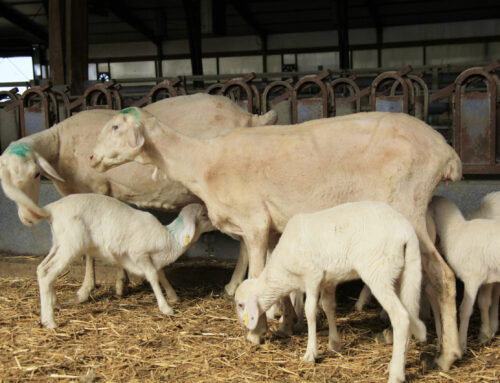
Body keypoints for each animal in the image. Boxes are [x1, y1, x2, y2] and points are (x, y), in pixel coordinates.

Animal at [7, 194, 214, 328]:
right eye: (204, 215)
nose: (217, 222)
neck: (169, 239)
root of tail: (51, 209)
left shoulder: (152, 259)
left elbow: (161, 275)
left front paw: (173, 296)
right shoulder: (139, 254)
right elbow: (154, 277)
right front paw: (166, 308)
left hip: (58, 243)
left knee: (42, 269)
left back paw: (53, 303)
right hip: (72, 244)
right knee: (48, 273)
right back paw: (49, 321)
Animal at [234, 201, 426, 383]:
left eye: (240, 304)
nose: (243, 325)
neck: (283, 273)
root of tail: (406, 231)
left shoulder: (312, 276)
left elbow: (310, 311)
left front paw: (311, 353)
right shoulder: (329, 280)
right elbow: (328, 307)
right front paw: (334, 344)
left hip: (378, 271)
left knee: (401, 317)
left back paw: (396, 374)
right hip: (403, 274)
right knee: (409, 314)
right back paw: (397, 363)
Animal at [428, 196, 500, 356]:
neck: (455, 230)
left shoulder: (472, 279)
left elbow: (465, 310)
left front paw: (461, 344)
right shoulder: (487, 278)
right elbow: (484, 302)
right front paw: (485, 335)